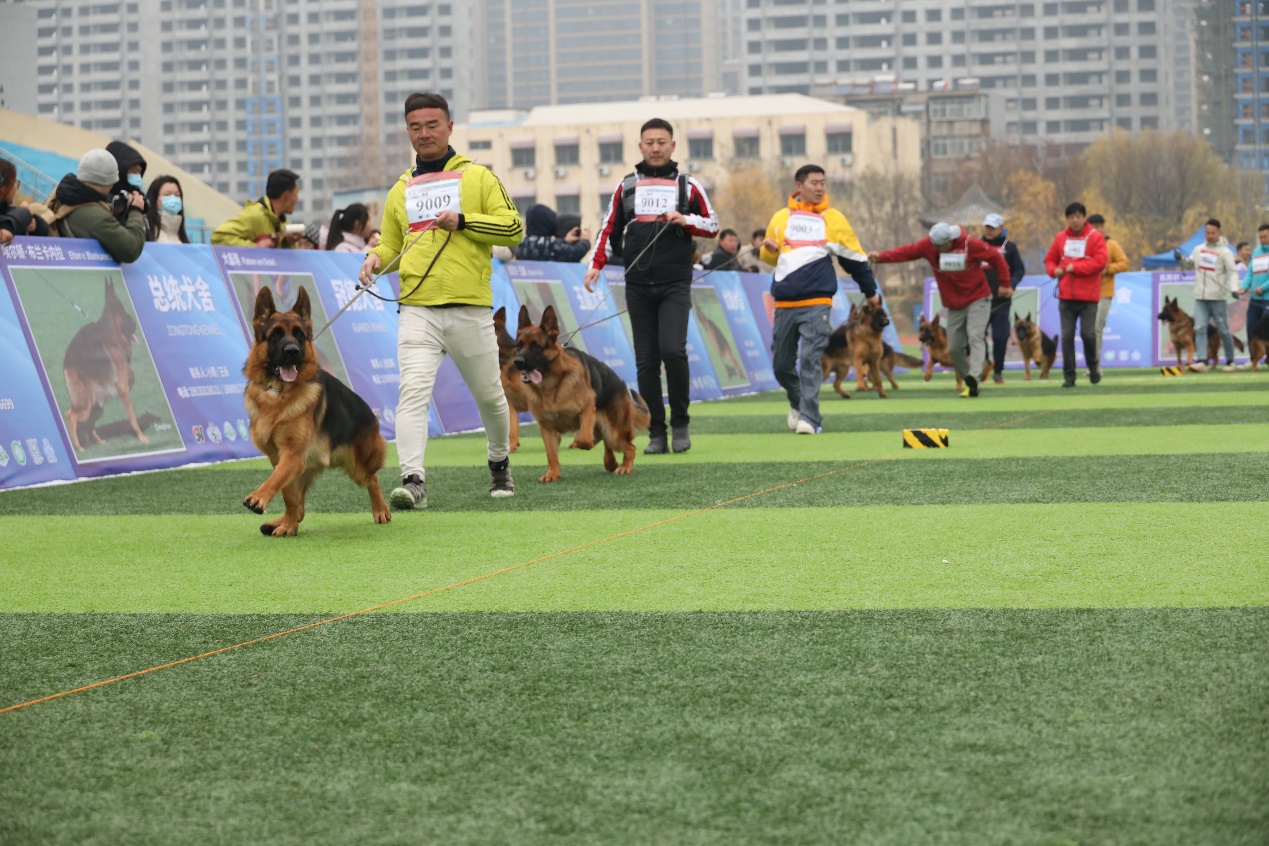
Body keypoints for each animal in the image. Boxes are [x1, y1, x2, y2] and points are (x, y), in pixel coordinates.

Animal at [63, 278, 149, 451]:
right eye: (122, 308)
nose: (134, 322)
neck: (112, 333)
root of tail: (67, 363)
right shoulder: (123, 389)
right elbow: (132, 417)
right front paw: (142, 438)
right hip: (86, 404)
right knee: (71, 416)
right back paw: (80, 448)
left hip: (96, 405)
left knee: (88, 424)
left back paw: (99, 442)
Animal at [241, 286, 390, 537]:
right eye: (275, 334)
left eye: (299, 334)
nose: (292, 351)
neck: (278, 393)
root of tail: (370, 412)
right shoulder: (281, 458)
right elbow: (288, 494)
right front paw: (288, 525)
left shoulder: (292, 456)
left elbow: (276, 480)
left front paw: (260, 498)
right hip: (306, 467)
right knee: (300, 504)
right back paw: (279, 521)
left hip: (357, 467)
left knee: (373, 479)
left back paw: (381, 510)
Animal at [513, 304, 650, 483]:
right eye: (519, 345)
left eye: (536, 346)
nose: (517, 362)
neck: (551, 386)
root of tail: (620, 382)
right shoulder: (546, 428)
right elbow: (551, 454)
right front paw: (552, 473)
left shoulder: (586, 409)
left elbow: (584, 439)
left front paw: (581, 443)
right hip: (608, 432)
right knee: (608, 443)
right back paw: (610, 462)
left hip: (613, 432)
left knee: (629, 447)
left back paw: (625, 467)